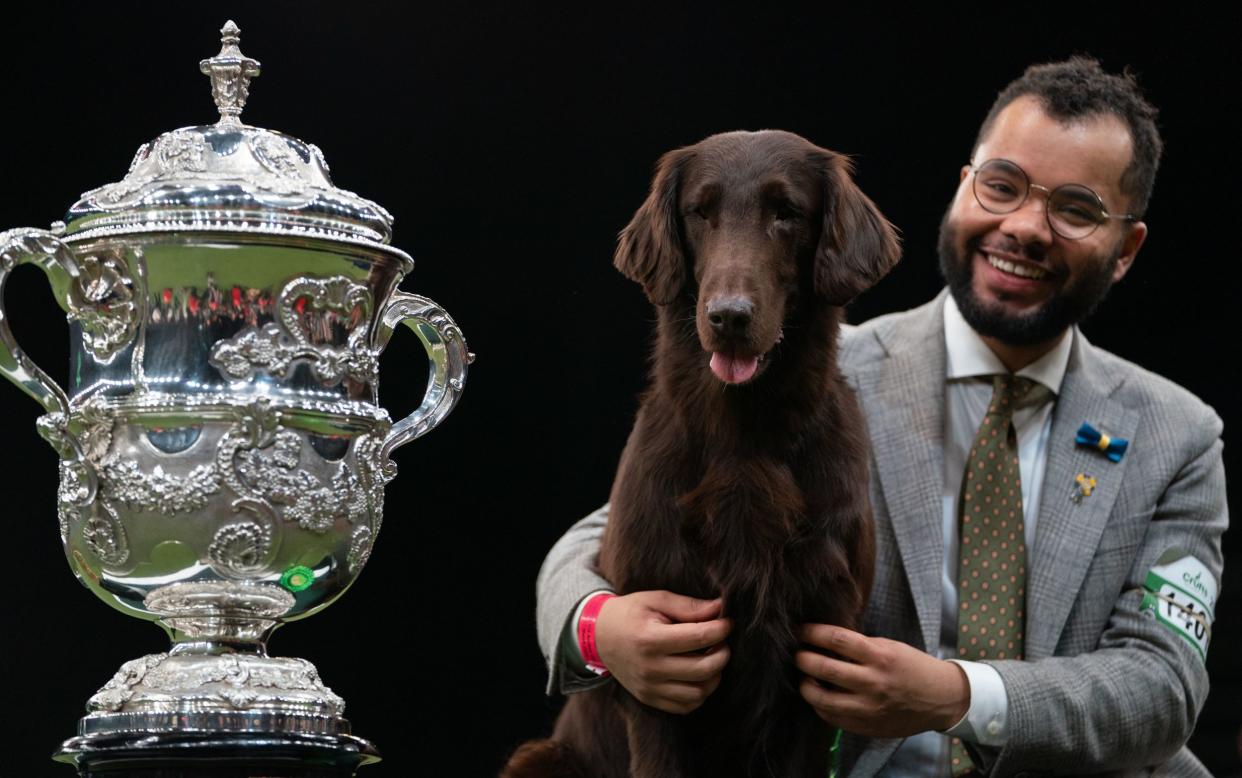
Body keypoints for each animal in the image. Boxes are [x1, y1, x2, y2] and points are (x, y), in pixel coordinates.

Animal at [504, 130, 904, 770]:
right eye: (700, 212)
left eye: (786, 213)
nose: (729, 316)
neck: (744, 438)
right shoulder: (658, 678)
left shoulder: (820, 663)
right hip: (540, 756)